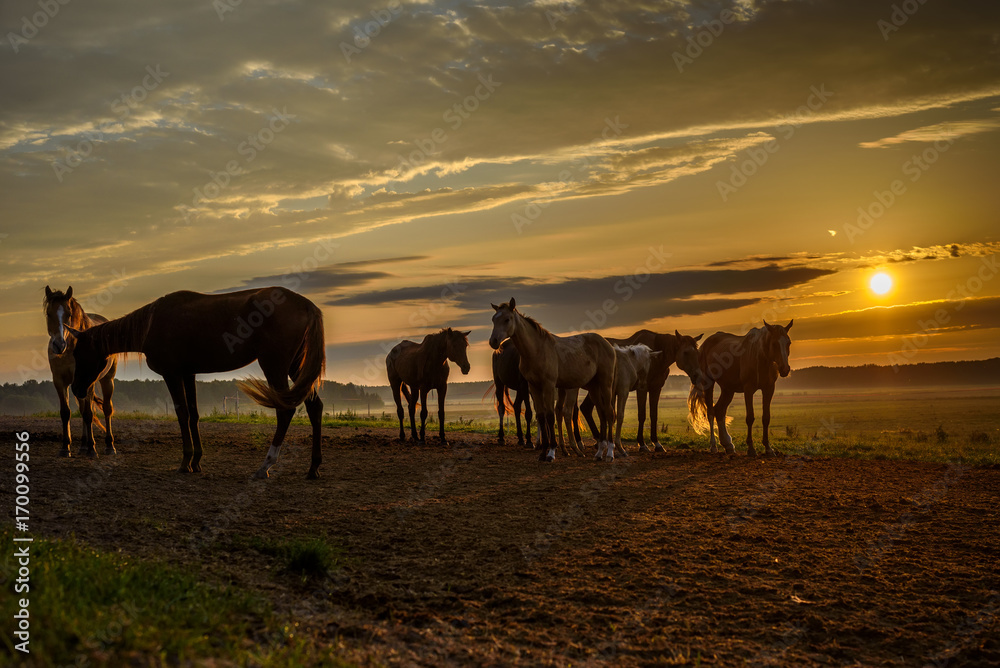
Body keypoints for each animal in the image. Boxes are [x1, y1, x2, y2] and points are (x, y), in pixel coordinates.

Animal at [43, 284, 118, 456]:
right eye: (49, 314)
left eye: (69, 314)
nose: (59, 345)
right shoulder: (60, 381)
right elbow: (66, 412)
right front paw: (65, 447)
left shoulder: (88, 381)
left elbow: (89, 414)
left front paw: (92, 448)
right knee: (83, 409)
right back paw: (83, 445)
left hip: (107, 380)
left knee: (106, 409)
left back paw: (109, 446)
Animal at [68, 288, 326, 480]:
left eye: (79, 353)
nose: (77, 389)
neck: (152, 323)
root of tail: (306, 305)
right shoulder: (188, 373)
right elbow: (193, 415)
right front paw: (197, 461)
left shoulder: (172, 374)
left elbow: (182, 414)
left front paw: (185, 462)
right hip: (297, 367)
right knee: (315, 407)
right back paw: (313, 468)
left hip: (275, 366)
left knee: (285, 411)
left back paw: (266, 466)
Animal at [486, 300, 612, 462]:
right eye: (493, 319)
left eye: (507, 319)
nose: (493, 341)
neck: (537, 350)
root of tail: (605, 342)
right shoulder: (533, 387)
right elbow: (541, 416)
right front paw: (542, 451)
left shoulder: (549, 386)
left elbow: (550, 416)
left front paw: (551, 451)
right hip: (593, 387)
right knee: (602, 413)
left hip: (605, 385)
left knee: (608, 412)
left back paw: (609, 452)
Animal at [684, 320, 792, 456]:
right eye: (774, 343)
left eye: (788, 342)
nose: (785, 369)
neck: (759, 356)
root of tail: (705, 344)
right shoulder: (748, 389)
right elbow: (750, 417)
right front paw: (751, 448)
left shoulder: (769, 389)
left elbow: (766, 418)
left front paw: (768, 448)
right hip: (708, 382)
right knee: (711, 412)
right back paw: (713, 446)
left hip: (728, 389)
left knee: (719, 410)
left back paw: (728, 444)